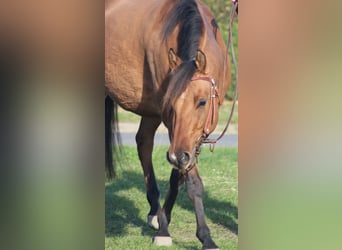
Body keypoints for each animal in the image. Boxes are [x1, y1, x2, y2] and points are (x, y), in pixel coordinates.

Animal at [105, 0, 231, 248]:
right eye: (171, 103)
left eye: (202, 101)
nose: (177, 155)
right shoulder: (172, 125)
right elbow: (192, 181)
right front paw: (204, 237)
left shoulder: (193, 137)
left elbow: (179, 175)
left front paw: (165, 222)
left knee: (144, 143)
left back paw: (154, 209)